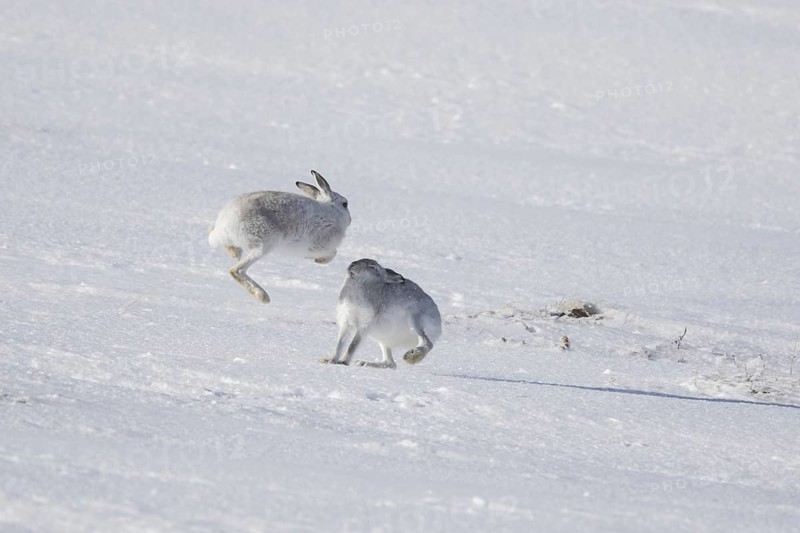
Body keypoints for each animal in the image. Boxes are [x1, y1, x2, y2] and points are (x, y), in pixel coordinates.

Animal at [208, 170, 350, 303]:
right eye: (345, 204)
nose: (350, 219)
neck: (332, 210)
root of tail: (224, 226)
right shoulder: (320, 244)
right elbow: (333, 253)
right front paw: (318, 260)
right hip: (265, 244)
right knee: (236, 270)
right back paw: (263, 296)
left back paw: (234, 252)